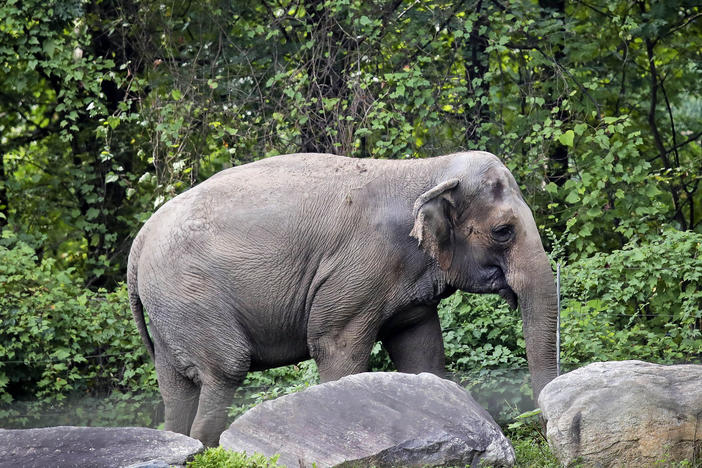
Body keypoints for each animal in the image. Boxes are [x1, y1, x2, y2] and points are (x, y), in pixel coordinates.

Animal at [125, 153, 556, 446]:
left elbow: (422, 353)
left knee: (176, 388)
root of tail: (139, 241)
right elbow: (337, 348)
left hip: (169, 310)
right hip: (191, 296)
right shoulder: (358, 270)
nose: (540, 425)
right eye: (503, 231)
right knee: (225, 369)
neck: (426, 170)